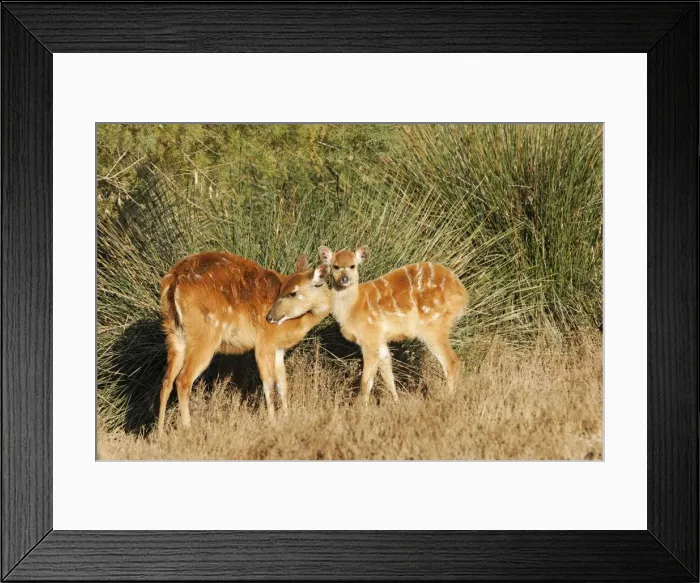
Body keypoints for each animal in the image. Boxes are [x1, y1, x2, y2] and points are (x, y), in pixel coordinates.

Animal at [158, 251, 330, 435]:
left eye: (292, 292)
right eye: (286, 290)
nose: (270, 317)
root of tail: (174, 281)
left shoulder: (278, 349)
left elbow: (283, 384)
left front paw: (287, 419)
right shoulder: (264, 342)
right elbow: (268, 384)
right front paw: (273, 423)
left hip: (174, 334)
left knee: (166, 381)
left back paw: (159, 433)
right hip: (205, 335)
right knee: (183, 380)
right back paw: (188, 429)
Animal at [318, 246, 469, 403]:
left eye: (353, 265)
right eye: (335, 266)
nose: (344, 279)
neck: (353, 307)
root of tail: (462, 293)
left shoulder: (370, 337)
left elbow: (366, 381)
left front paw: (362, 407)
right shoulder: (381, 340)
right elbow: (388, 375)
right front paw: (396, 402)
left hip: (433, 325)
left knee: (452, 362)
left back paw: (448, 399)